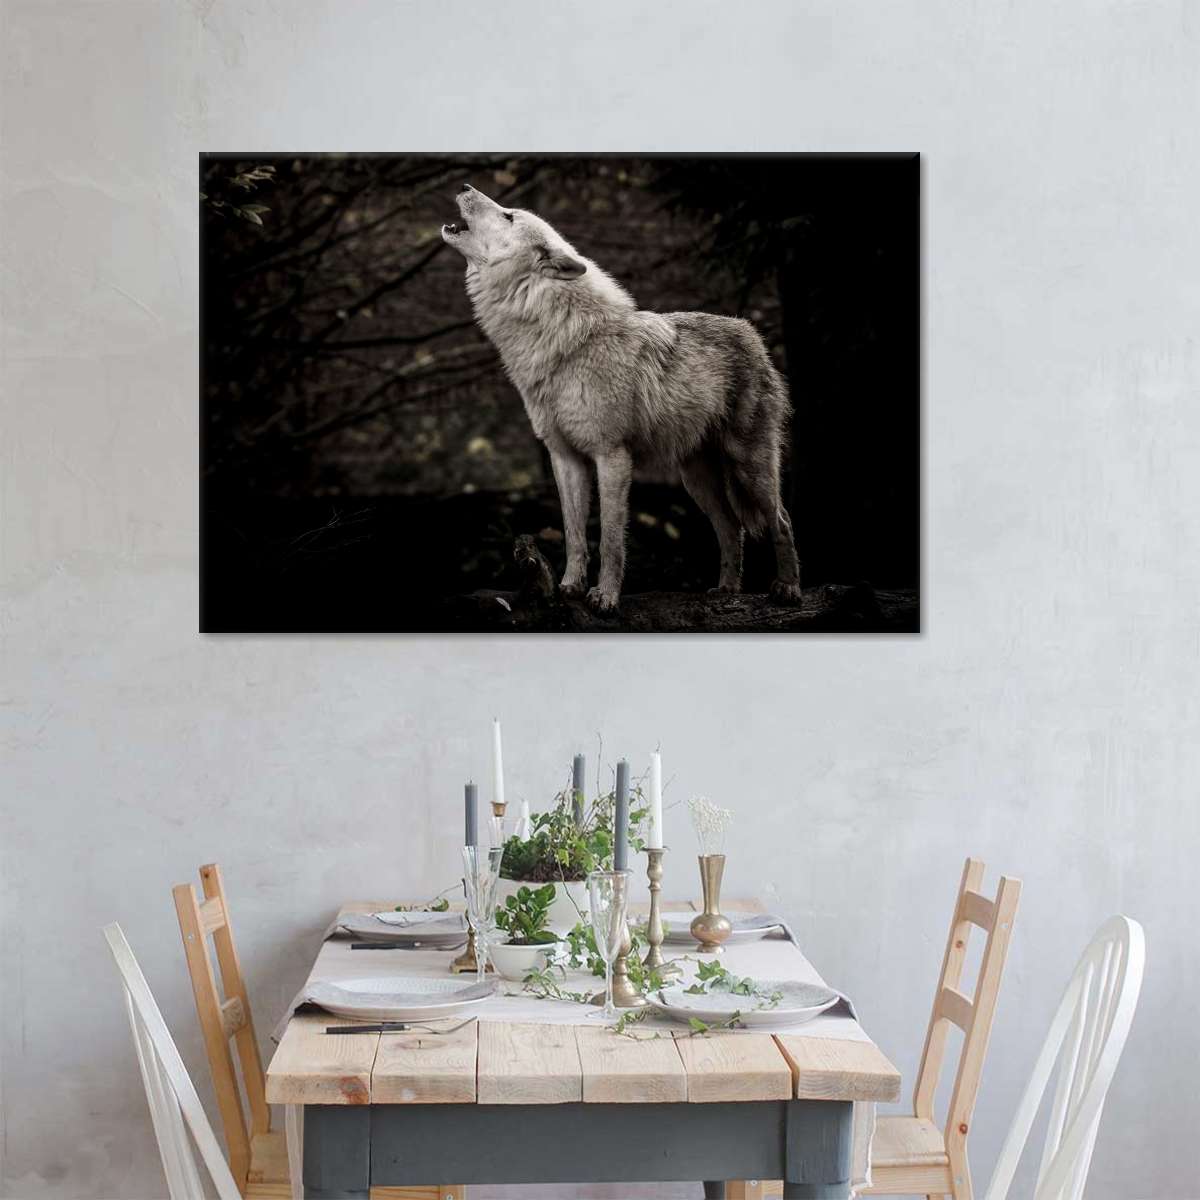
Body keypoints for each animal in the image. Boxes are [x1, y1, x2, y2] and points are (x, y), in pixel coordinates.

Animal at [442, 183, 801, 614]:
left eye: (509, 215)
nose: (465, 186)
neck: (563, 341)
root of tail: (750, 332)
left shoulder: (611, 455)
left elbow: (611, 539)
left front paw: (605, 597)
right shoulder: (564, 457)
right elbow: (574, 534)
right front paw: (569, 587)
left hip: (750, 466)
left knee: (781, 521)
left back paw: (788, 589)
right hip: (695, 479)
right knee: (731, 527)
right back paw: (727, 589)